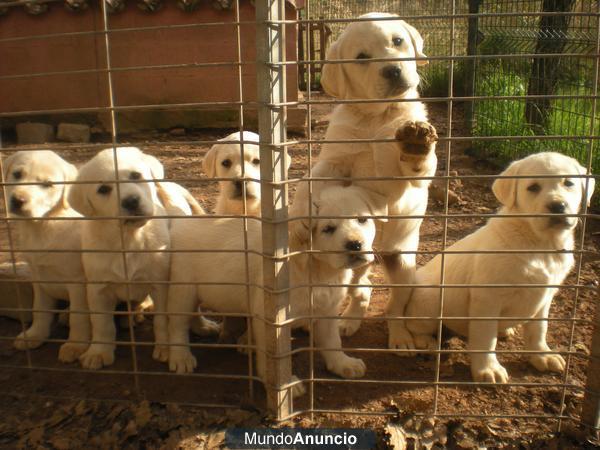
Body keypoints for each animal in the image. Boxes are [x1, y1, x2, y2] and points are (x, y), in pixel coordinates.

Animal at [3, 151, 90, 362]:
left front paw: (75, 345)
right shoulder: (38, 277)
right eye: (17, 174)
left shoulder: (77, 282)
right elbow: (39, 309)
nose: (18, 200)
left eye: (48, 184)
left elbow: (79, 316)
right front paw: (35, 335)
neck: (44, 225)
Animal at [68, 148, 207, 370]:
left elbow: (162, 321)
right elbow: (102, 324)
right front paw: (98, 352)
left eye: (135, 175)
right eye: (103, 189)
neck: (128, 238)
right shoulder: (98, 290)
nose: (131, 201)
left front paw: (165, 349)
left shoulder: (161, 286)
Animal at [168, 184, 384, 394]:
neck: (318, 268)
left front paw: (342, 364)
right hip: (182, 290)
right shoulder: (272, 319)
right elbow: (275, 356)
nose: (355, 244)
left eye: (362, 219)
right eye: (328, 229)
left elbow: (332, 341)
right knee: (177, 324)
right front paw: (285, 384)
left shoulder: (327, 309)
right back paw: (180, 357)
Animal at [290, 13, 436, 344]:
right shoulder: (333, 160)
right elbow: (307, 181)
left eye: (398, 41)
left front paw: (415, 144)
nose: (393, 69)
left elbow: (420, 166)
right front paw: (298, 217)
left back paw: (400, 337)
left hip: (403, 264)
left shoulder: (412, 179)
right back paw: (348, 322)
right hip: (354, 263)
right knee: (362, 289)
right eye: (361, 58)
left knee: (395, 306)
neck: (376, 118)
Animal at [400, 152, 592, 384]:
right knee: (415, 325)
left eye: (569, 183)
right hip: (430, 298)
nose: (558, 206)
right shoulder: (487, 298)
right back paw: (426, 342)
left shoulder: (545, 296)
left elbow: (538, 330)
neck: (539, 243)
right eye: (533, 187)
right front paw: (488, 368)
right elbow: (485, 337)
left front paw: (541, 355)